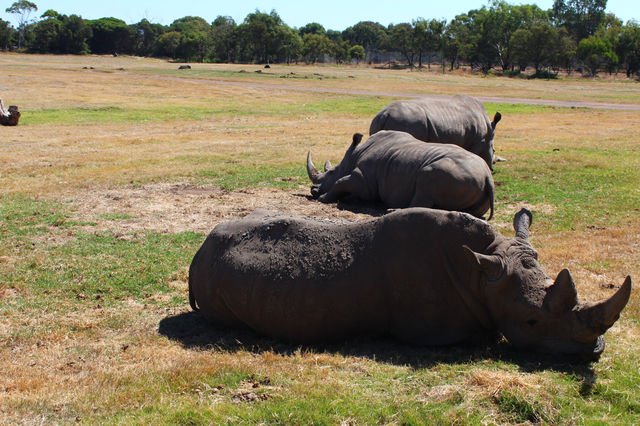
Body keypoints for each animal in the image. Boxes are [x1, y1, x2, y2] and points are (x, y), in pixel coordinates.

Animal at [189, 206, 632, 360]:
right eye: (531, 323)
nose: (595, 351)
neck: (482, 273)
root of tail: (198, 251)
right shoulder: (435, 332)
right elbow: (483, 335)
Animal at [304, 131, 496, 220]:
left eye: (330, 172)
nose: (313, 190)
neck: (352, 157)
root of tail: (487, 176)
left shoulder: (363, 179)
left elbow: (340, 182)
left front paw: (323, 198)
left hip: (452, 171)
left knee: (426, 181)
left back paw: (391, 211)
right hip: (470, 178)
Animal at [368, 95, 502, 169]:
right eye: (494, 150)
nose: (492, 168)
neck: (489, 128)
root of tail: (385, 114)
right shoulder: (478, 141)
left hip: (379, 121)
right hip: (406, 120)